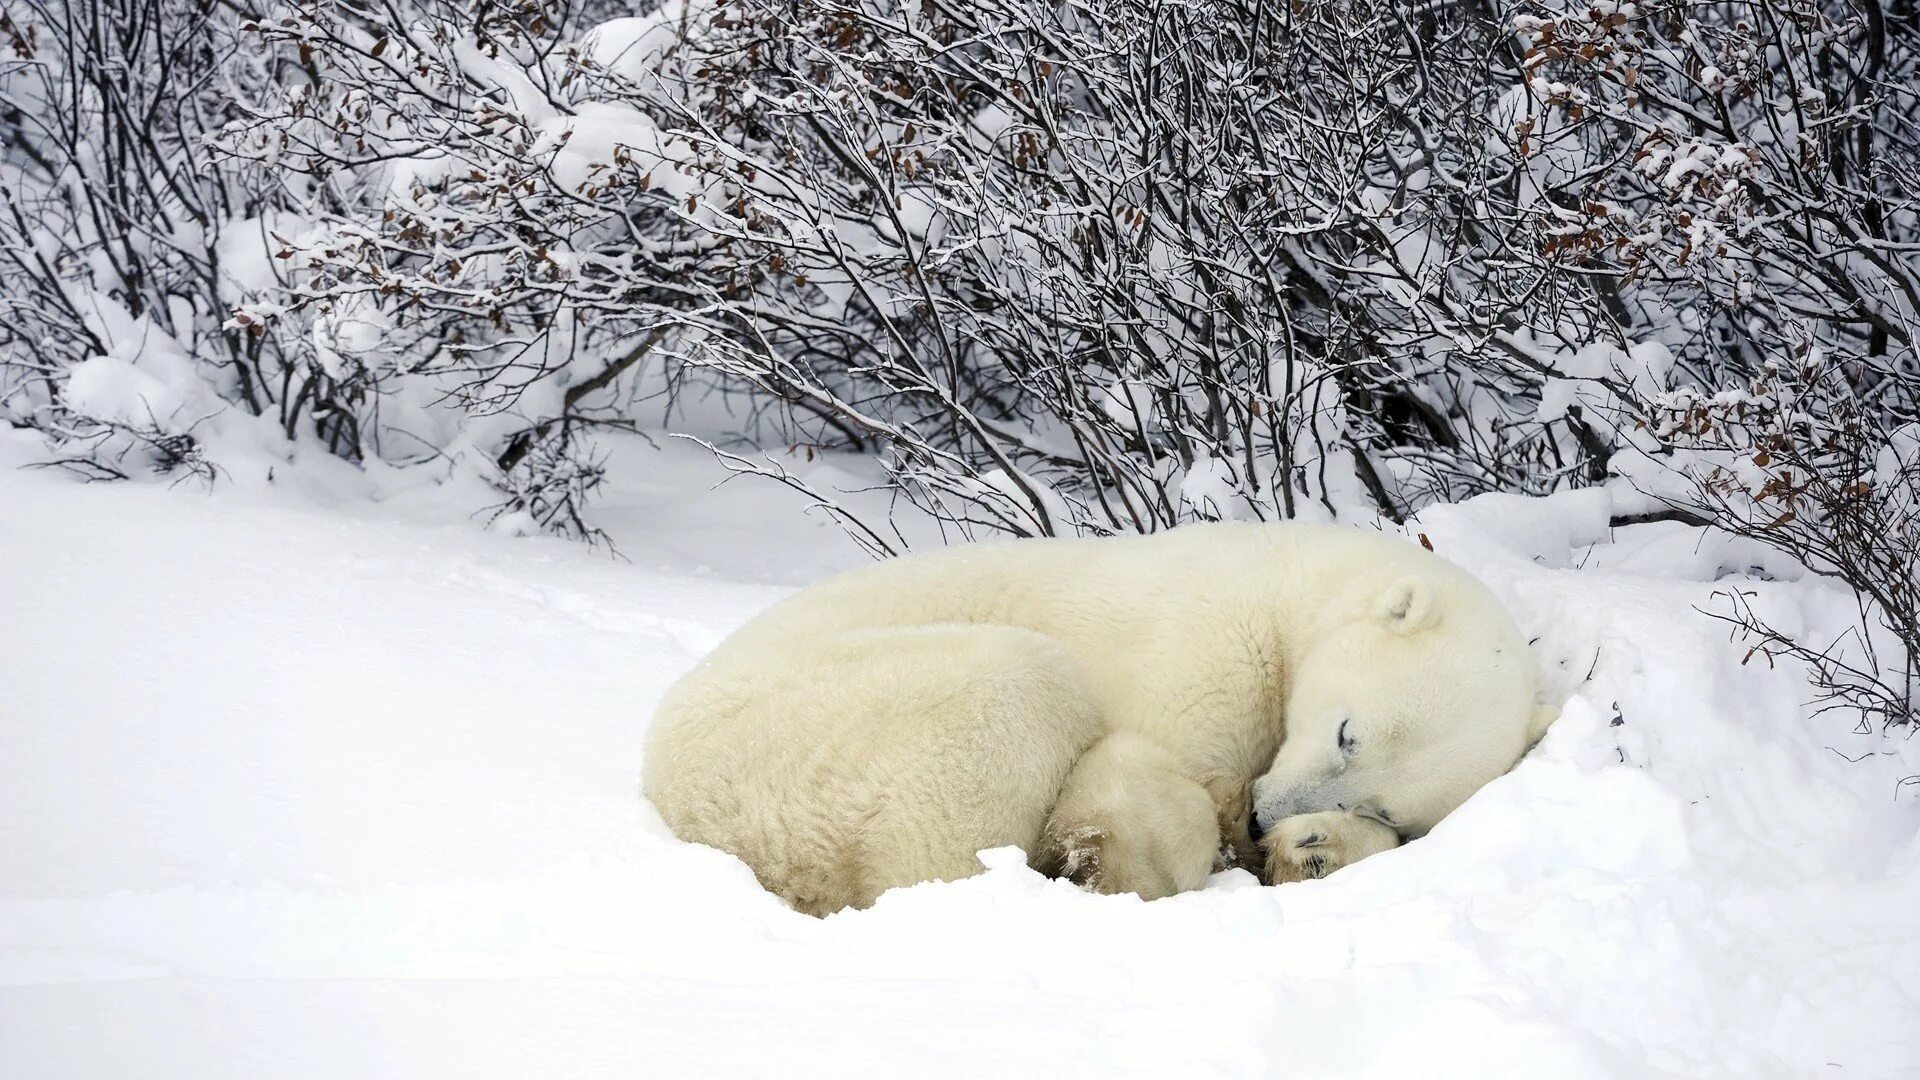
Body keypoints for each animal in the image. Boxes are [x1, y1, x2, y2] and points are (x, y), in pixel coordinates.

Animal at [637, 522, 1551, 907]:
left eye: (1383, 804)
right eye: (1346, 730)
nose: (1265, 816)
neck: (1291, 585)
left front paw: (1314, 849)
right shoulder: (1207, 642)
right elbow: (1141, 771)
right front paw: (1138, 858)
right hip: (809, 727)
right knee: (1015, 692)